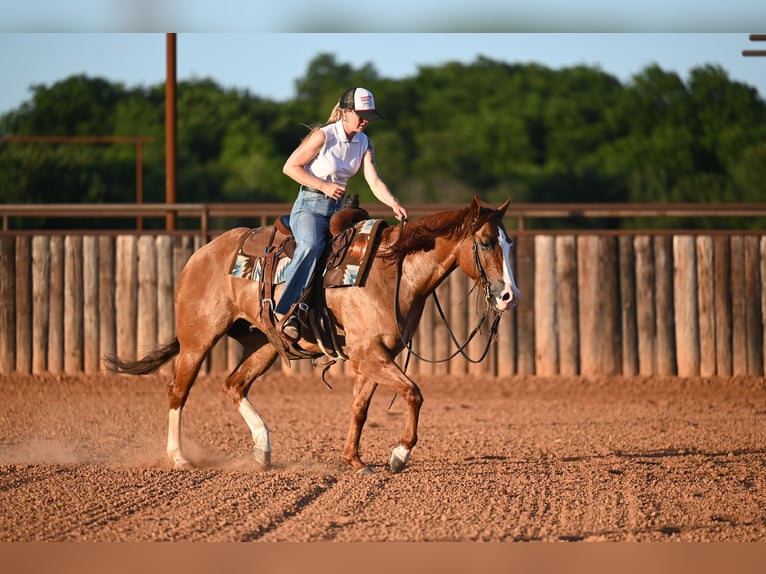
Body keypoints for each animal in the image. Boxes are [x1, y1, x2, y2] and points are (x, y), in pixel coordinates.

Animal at [104, 196, 520, 474]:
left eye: (509, 242)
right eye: (486, 243)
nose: (509, 296)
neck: (392, 270)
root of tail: (201, 253)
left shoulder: (373, 357)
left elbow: (360, 408)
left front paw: (356, 460)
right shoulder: (369, 355)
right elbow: (414, 393)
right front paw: (399, 455)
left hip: (264, 344)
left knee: (234, 384)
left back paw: (262, 448)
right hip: (198, 339)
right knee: (178, 390)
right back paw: (178, 457)